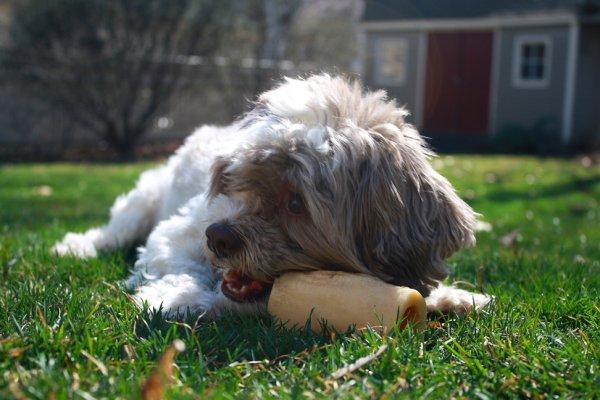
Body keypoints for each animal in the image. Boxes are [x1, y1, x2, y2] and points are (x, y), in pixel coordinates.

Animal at [52, 74, 492, 318]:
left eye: (296, 203)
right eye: (237, 180)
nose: (218, 237)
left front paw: (455, 298)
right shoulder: (175, 234)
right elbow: (183, 270)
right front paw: (178, 295)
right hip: (141, 205)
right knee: (110, 233)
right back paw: (76, 247)